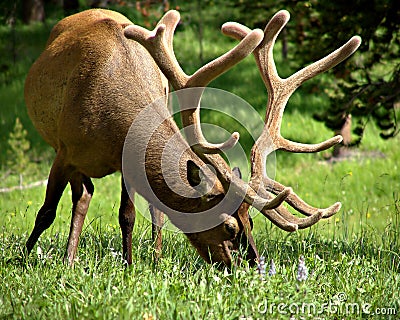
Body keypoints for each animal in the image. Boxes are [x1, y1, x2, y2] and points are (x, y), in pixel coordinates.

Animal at [22, 7, 360, 268]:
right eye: (229, 227)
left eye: (251, 221)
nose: (253, 266)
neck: (109, 124)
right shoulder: (63, 152)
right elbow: (46, 213)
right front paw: (23, 258)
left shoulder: (125, 162)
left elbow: (128, 216)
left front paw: (130, 266)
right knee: (82, 194)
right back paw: (67, 258)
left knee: (101, 198)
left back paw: (136, 259)